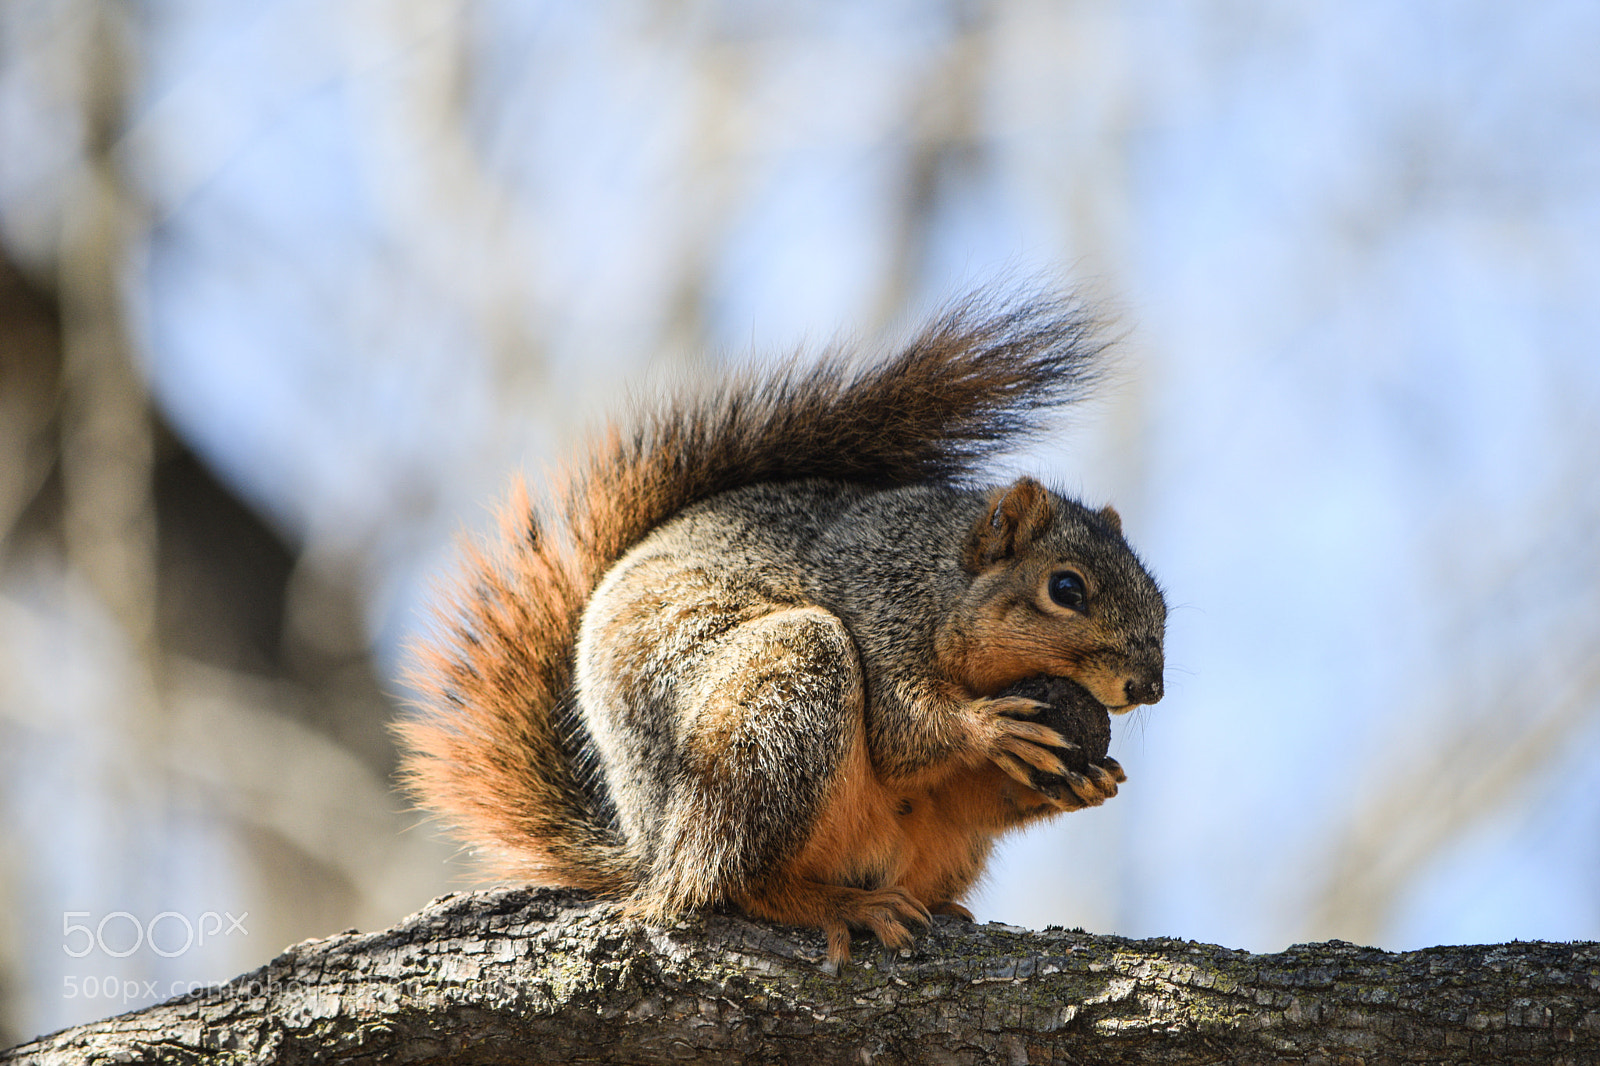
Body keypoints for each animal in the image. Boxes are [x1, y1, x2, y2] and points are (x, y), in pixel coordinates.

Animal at [398, 293, 1167, 964]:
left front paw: (1089, 781)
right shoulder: (880, 611)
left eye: (1159, 598)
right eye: (1065, 588)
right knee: (731, 883)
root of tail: (651, 852)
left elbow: (960, 789)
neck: (939, 579)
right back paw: (839, 906)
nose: (1149, 687)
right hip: (776, 704)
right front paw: (992, 728)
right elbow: (903, 732)